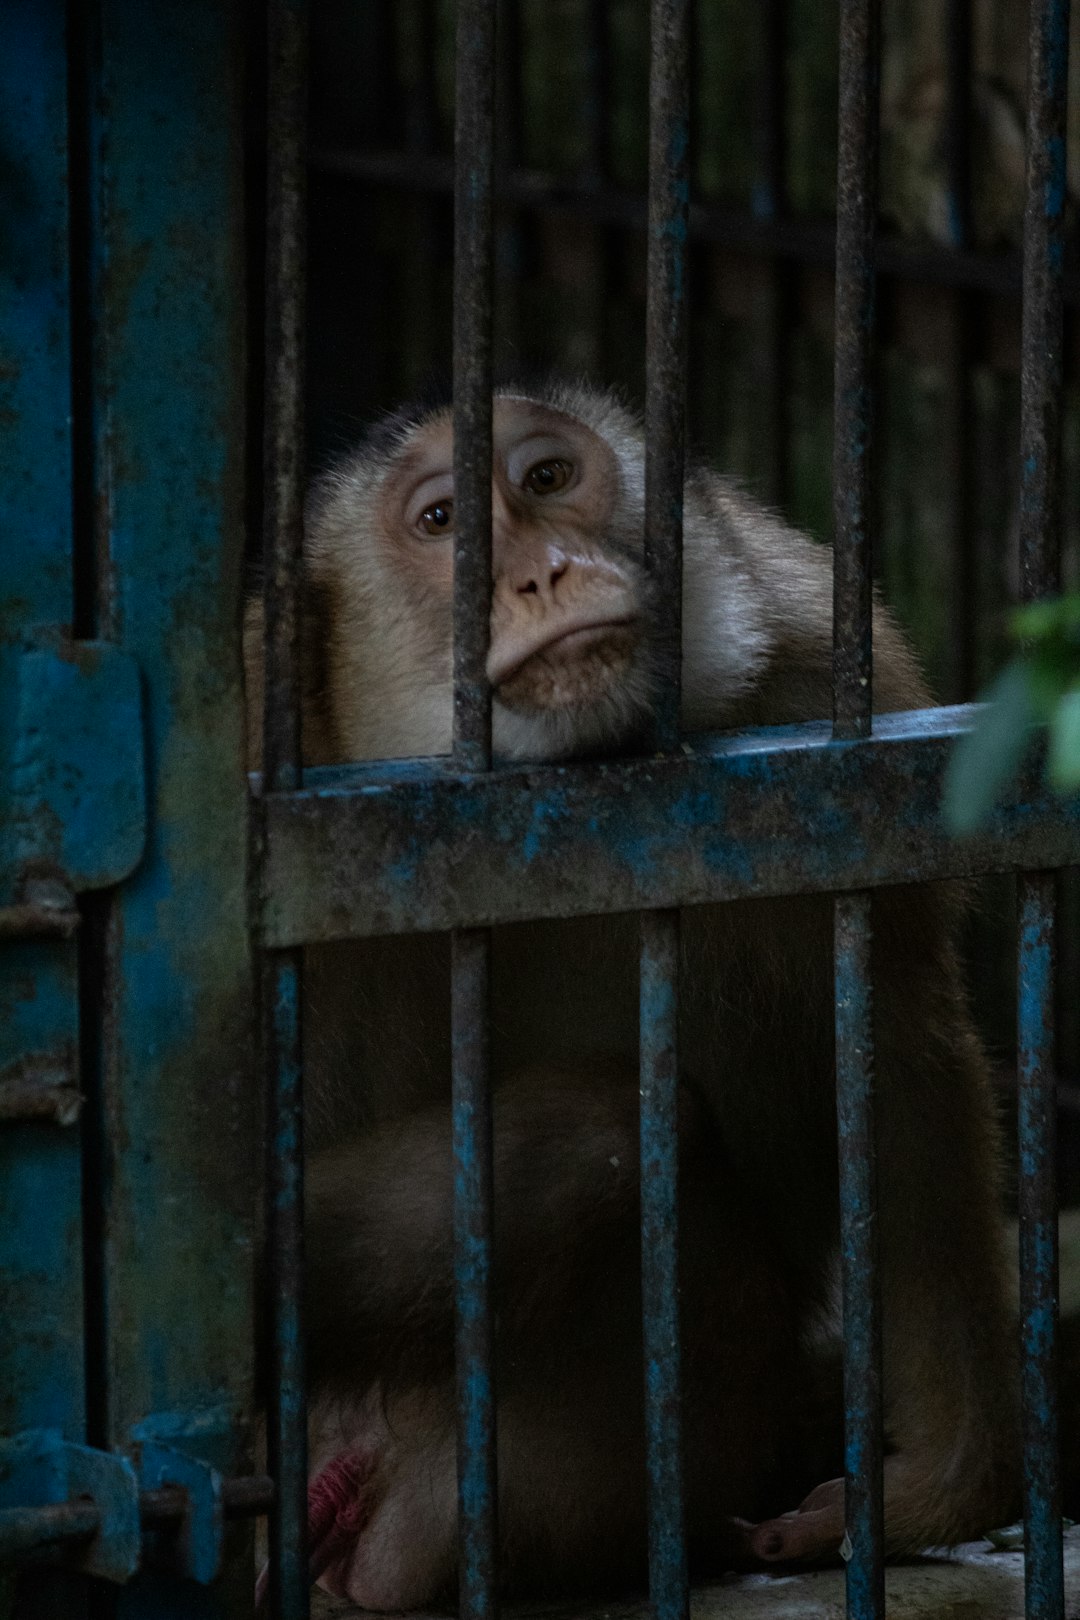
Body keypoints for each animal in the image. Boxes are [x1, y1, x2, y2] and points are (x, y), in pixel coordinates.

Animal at [244, 379, 1016, 1607]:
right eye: (445, 521)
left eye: (550, 479)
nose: (546, 570)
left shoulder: (824, 686)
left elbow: (894, 1064)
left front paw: (935, 1489)